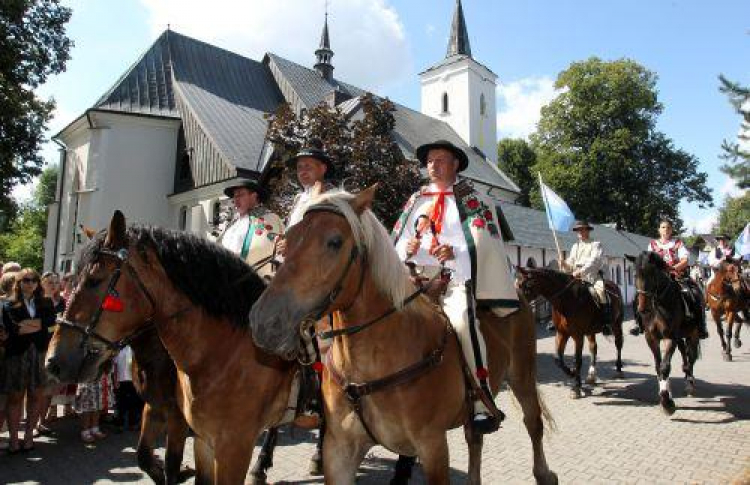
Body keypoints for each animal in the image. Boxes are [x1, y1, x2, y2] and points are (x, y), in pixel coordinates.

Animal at [45, 212, 300, 484]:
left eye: (94, 280)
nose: (53, 361)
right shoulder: (155, 408)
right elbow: (144, 457)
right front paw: (172, 470)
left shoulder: (185, 423)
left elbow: (171, 464)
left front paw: (179, 471)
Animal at [248, 188, 560, 484]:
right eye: (288, 238)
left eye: (335, 241)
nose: (264, 320)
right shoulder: (340, 451)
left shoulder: (432, 447)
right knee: (475, 437)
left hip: (522, 375)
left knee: (533, 423)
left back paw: (545, 473)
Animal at [516, 264, 628, 398]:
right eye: (517, 285)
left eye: (525, 285)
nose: (517, 307)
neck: (567, 300)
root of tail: (614, 285)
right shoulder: (562, 333)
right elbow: (558, 359)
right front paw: (572, 373)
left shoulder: (577, 335)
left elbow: (577, 359)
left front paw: (576, 387)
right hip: (590, 331)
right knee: (593, 348)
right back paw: (591, 376)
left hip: (617, 325)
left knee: (618, 344)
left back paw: (619, 370)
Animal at [636, 251, 704, 414]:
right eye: (636, 275)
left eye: (652, 274)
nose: (643, 309)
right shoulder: (651, 338)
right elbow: (658, 367)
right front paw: (664, 395)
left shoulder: (670, 337)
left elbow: (665, 366)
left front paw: (667, 403)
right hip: (681, 337)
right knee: (684, 355)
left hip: (693, 335)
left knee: (691, 358)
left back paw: (690, 384)